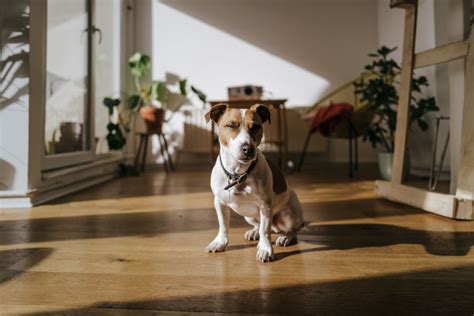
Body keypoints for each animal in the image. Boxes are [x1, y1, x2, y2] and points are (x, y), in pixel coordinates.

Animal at [204, 103, 304, 262]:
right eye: (231, 125)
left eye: (256, 126)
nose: (248, 148)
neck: (238, 173)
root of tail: (276, 227)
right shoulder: (219, 203)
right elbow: (223, 225)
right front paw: (220, 242)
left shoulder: (265, 206)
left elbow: (265, 231)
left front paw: (265, 249)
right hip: (249, 216)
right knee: (259, 225)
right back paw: (254, 232)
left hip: (290, 214)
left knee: (292, 229)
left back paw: (285, 237)